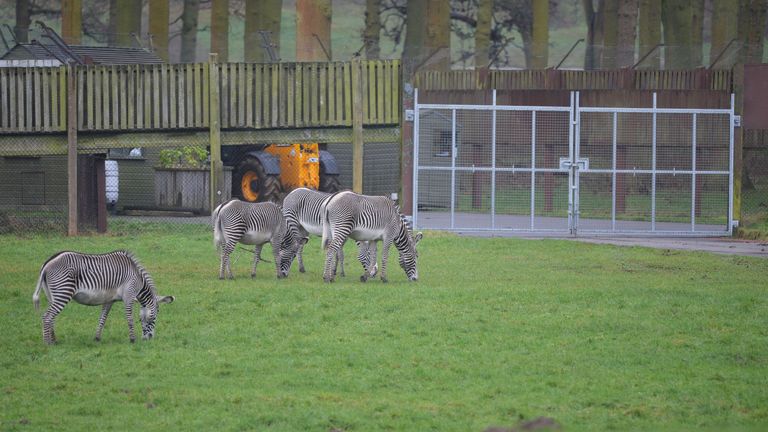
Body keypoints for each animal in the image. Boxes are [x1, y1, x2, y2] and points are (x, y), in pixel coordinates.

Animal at [32, 250, 175, 344]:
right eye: (155, 316)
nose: (148, 338)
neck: (138, 280)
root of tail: (47, 263)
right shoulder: (129, 295)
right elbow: (129, 318)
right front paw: (132, 339)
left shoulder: (109, 300)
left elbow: (102, 318)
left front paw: (97, 338)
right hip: (63, 292)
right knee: (47, 316)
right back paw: (48, 343)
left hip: (53, 295)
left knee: (51, 317)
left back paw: (54, 340)